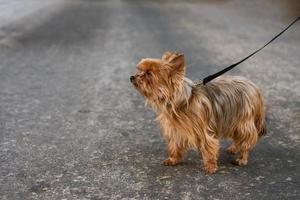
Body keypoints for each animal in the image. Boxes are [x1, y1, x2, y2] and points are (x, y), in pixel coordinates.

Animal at [130, 51, 266, 173]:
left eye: (149, 74)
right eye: (140, 71)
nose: (132, 77)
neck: (178, 101)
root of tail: (254, 88)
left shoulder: (202, 129)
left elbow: (208, 145)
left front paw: (210, 166)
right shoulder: (175, 128)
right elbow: (174, 144)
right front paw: (173, 159)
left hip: (243, 121)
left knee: (246, 141)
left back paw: (242, 159)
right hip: (232, 119)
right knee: (238, 138)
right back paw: (233, 148)